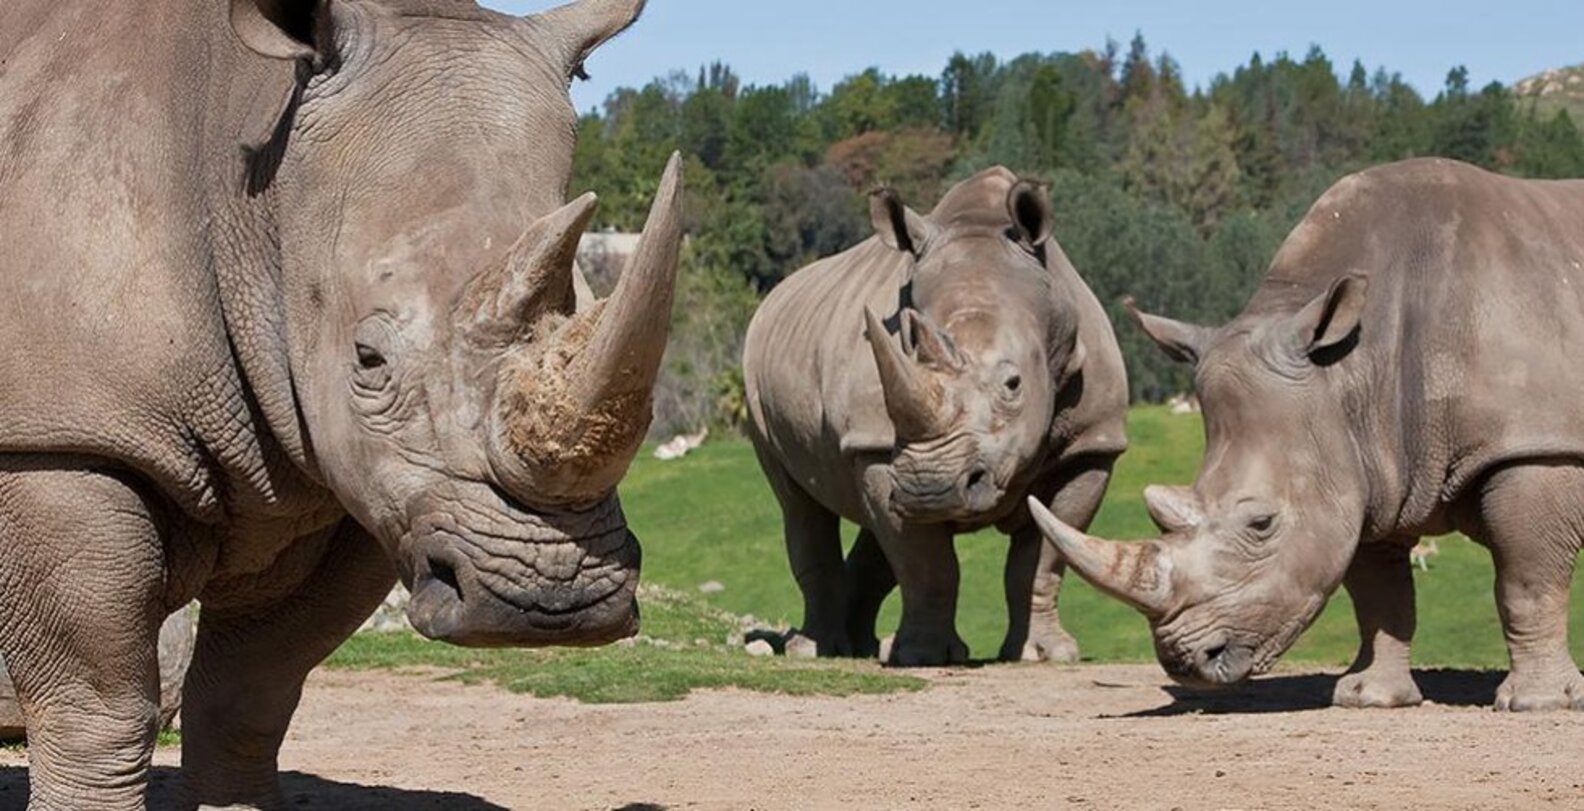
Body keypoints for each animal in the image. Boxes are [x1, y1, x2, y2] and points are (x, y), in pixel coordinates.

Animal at [0, 0, 681, 807]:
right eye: (369, 360)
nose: (549, 599)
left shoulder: (349, 479)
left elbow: (250, 691)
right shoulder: (59, 436)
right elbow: (95, 706)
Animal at [744, 169, 1128, 666]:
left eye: (1013, 384)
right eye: (907, 349)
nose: (930, 488)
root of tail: (774, 296)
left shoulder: (1092, 445)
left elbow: (1043, 557)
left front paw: (1043, 654)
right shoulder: (876, 444)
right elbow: (926, 563)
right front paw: (923, 656)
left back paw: (860, 647)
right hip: (756, 379)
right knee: (799, 506)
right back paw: (816, 650)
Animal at [1030, 158, 1584, 711]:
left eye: (1261, 523)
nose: (1186, 662)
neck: (1353, 370)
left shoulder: (1535, 447)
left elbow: (1526, 581)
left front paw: (1538, 702)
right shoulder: (1369, 466)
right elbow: (1379, 593)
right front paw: (1367, 698)